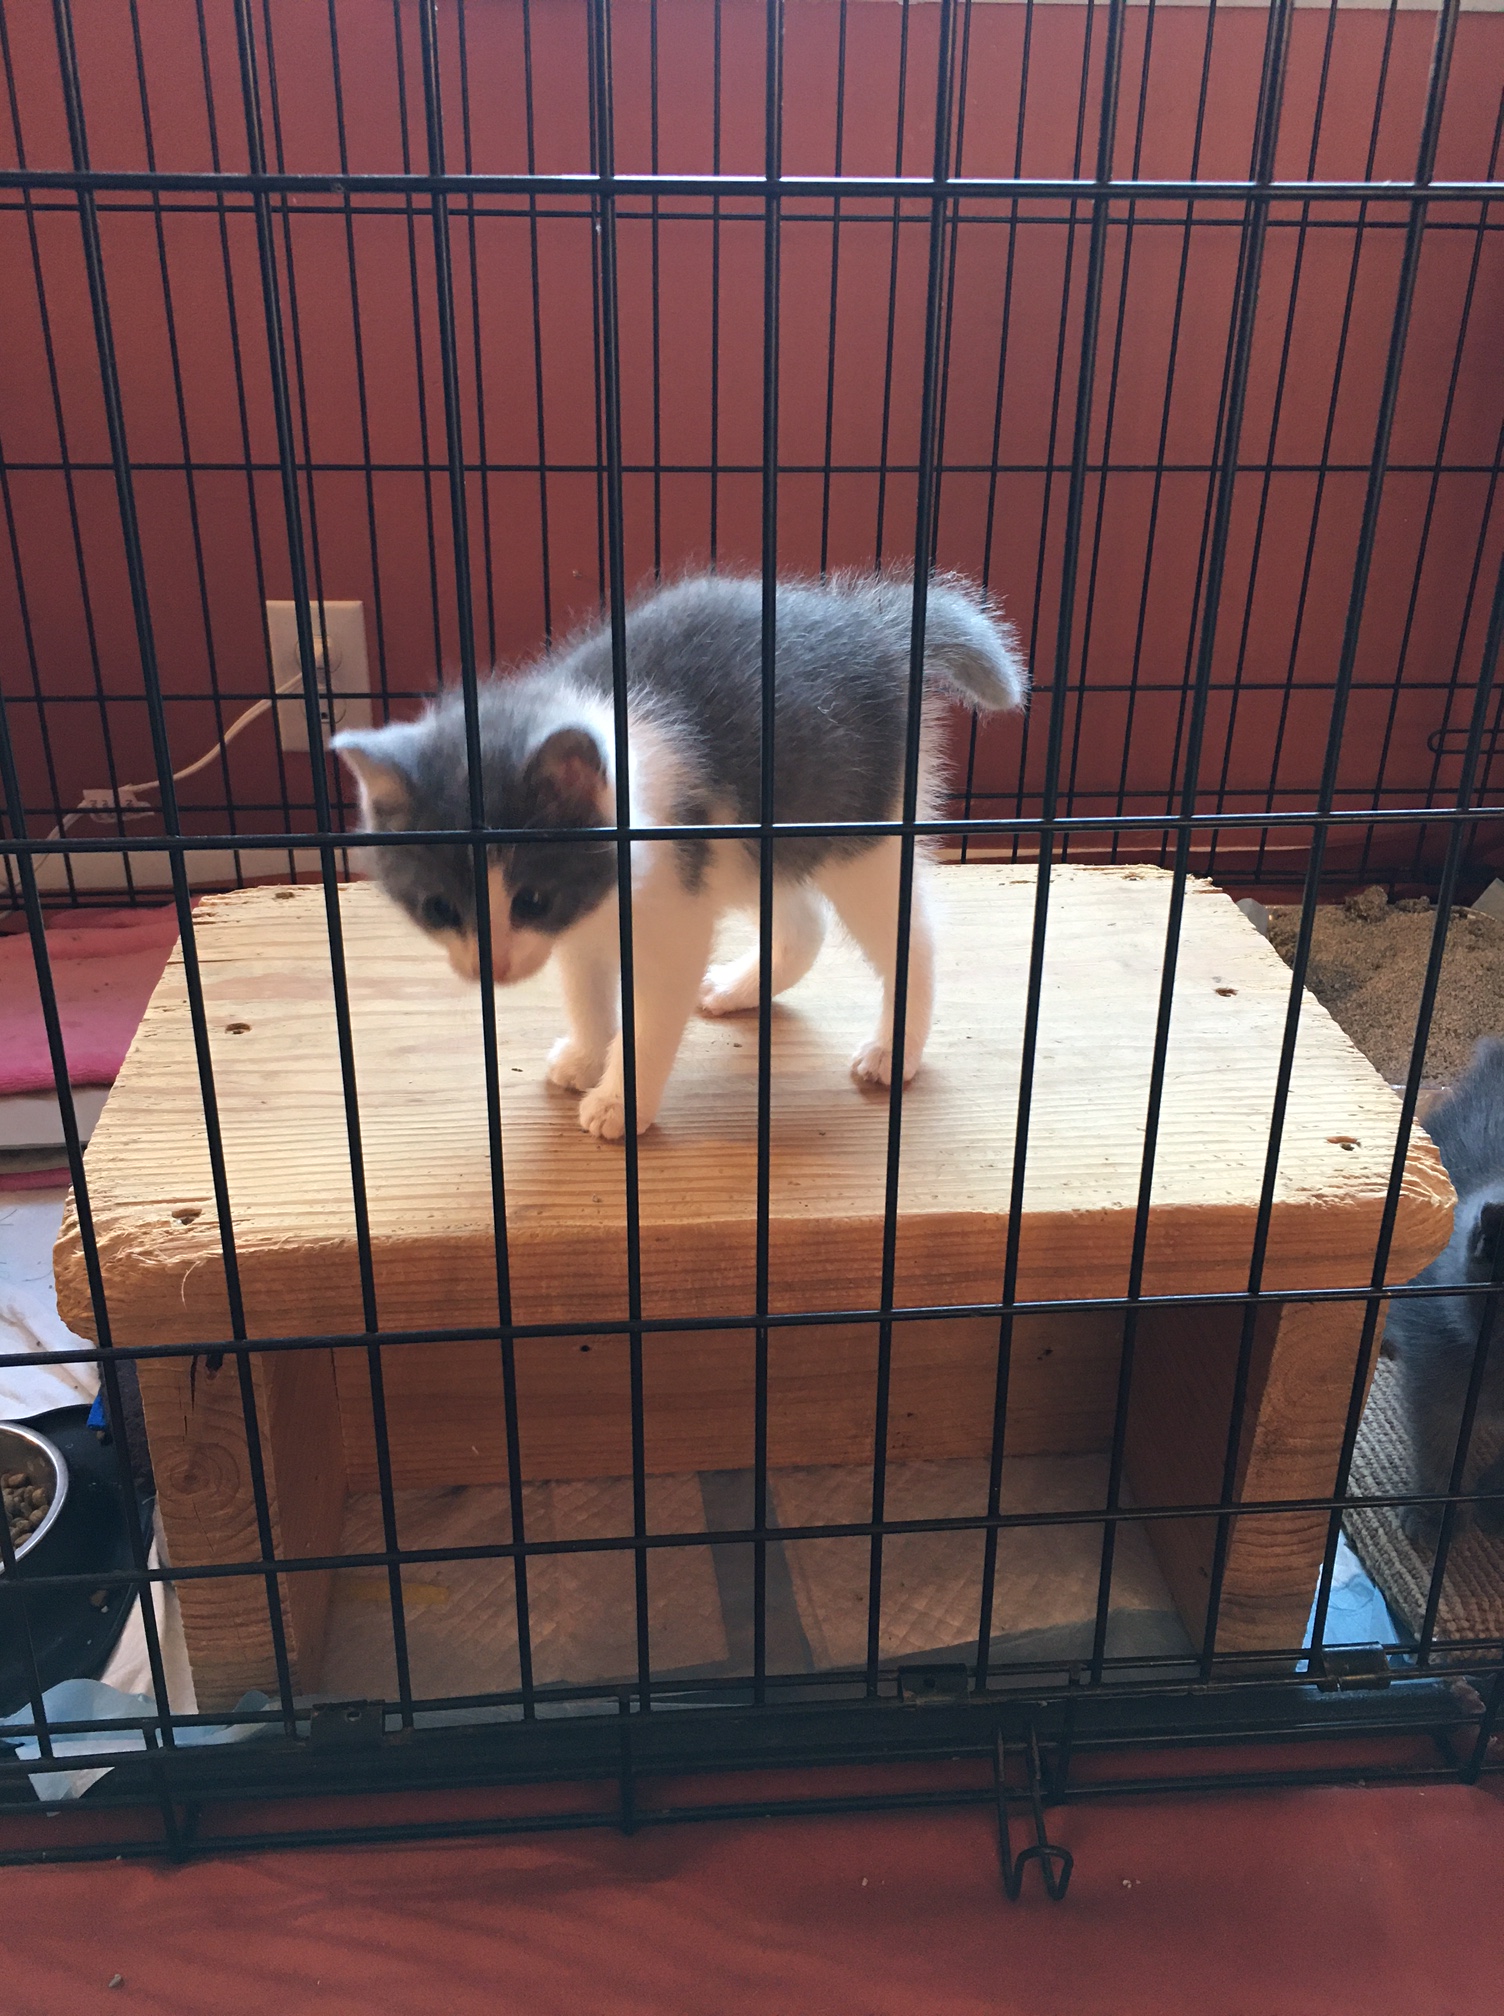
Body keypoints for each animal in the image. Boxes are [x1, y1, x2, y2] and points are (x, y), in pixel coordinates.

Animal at [333, 571, 1027, 1140]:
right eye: (438, 908)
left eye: (531, 899)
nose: (493, 970)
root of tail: (876, 627)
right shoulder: (588, 918)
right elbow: (584, 985)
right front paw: (586, 1055)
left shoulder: (674, 910)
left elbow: (651, 1014)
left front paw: (619, 1103)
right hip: (760, 844)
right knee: (806, 922)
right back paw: (743, 987)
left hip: (860, 829)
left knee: (913, 939)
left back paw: (893, 1049)